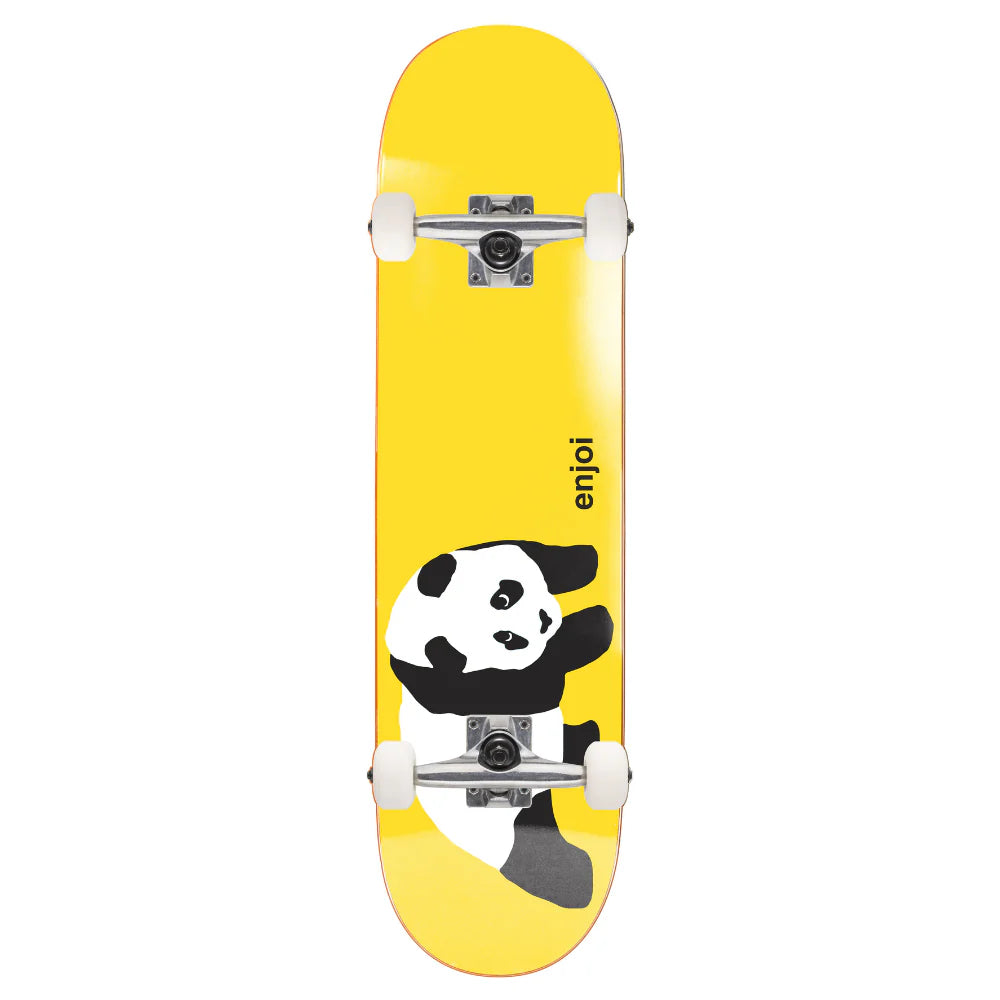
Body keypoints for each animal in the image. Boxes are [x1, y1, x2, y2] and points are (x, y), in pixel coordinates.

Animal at [385, 539, 613, 908]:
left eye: (504, 597)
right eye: (506, 637)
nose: (545, 621)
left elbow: (550, 555)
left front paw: (585, 566)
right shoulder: (446, 682)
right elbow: (536, 680)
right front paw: (590, 625)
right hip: (514, 832)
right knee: (536, 854)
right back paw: (575, 883)